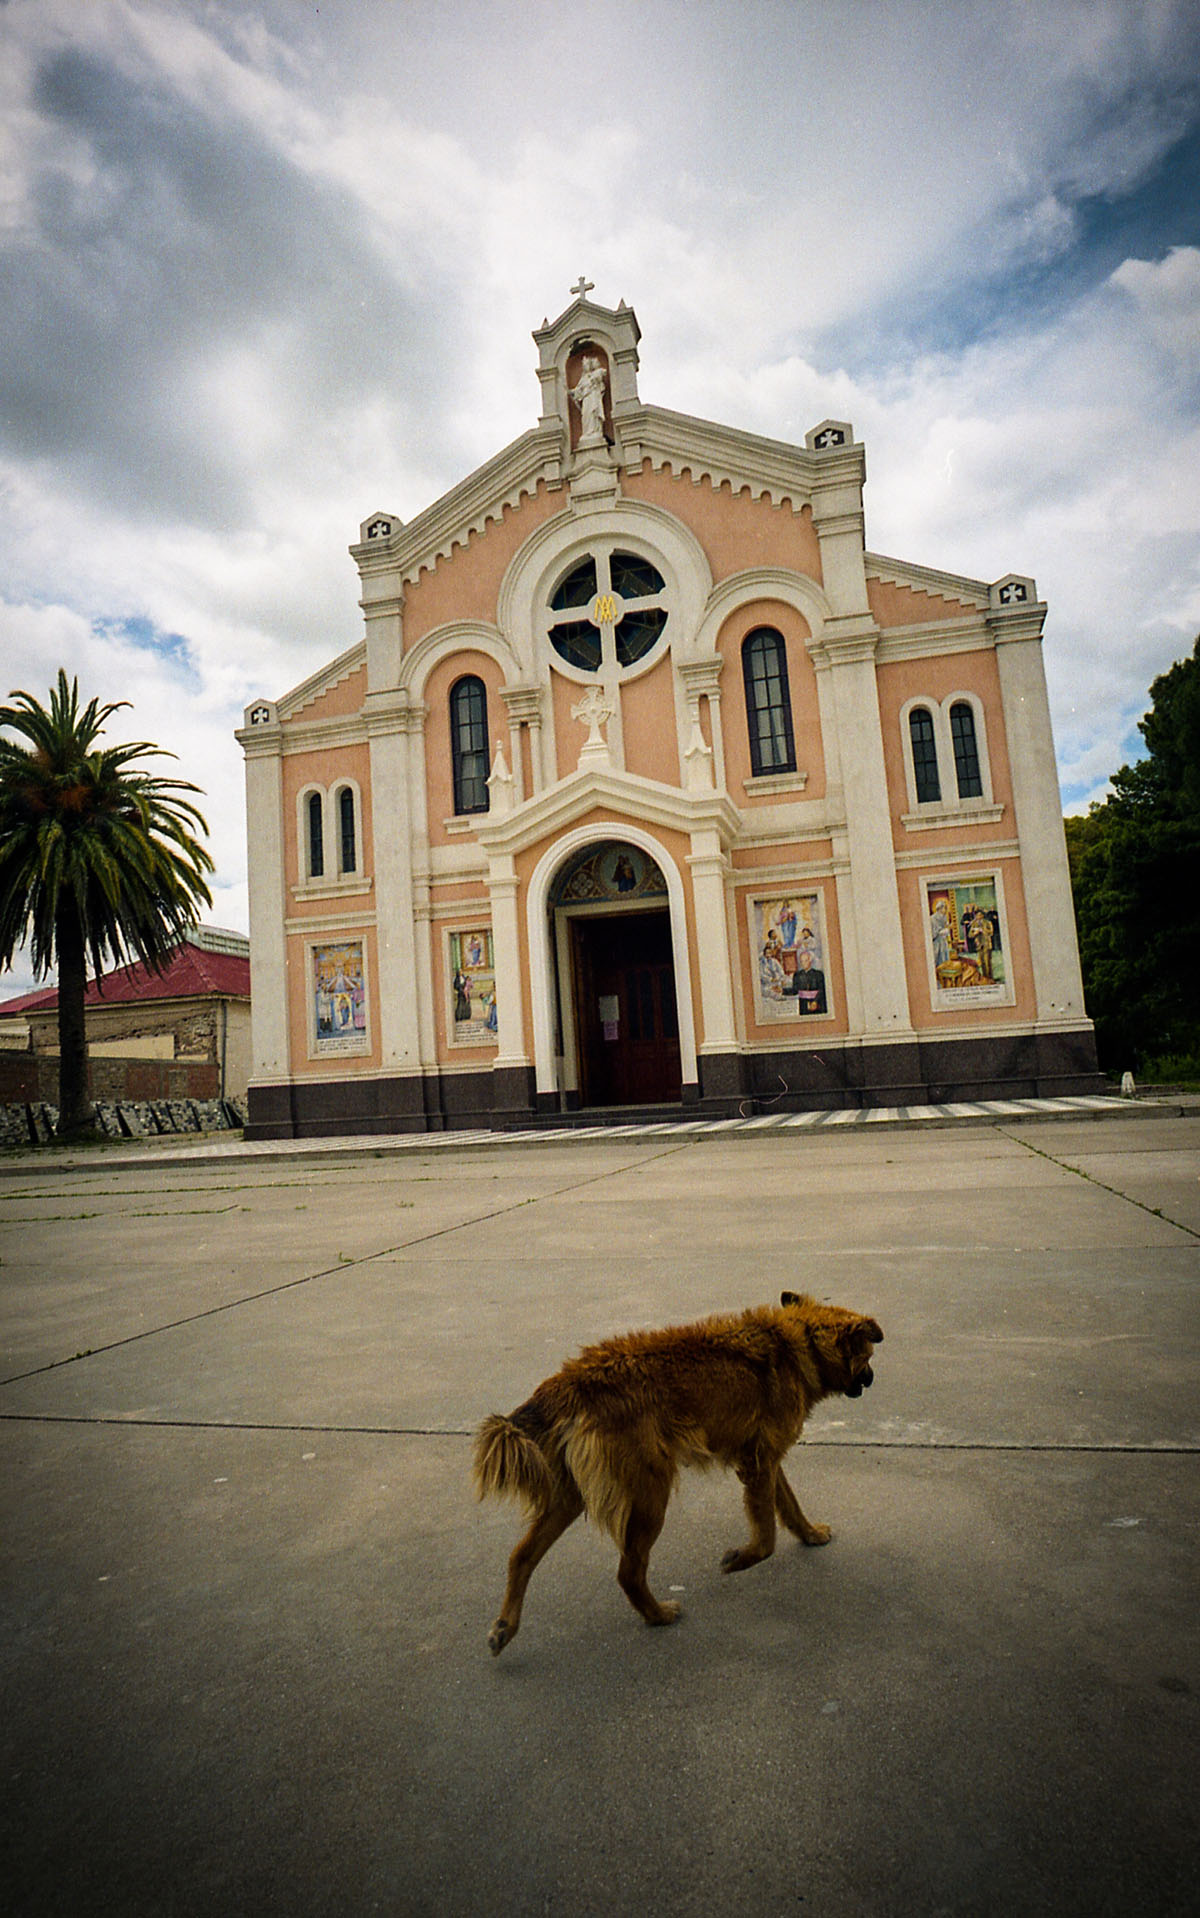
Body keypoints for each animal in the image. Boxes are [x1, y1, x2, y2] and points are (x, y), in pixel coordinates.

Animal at [469, 1296, 877, 1657]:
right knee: (629, 1571)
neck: (801, 1342)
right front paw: (738, 1559)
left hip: (571, 1494)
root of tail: (568, 1384)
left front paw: (810, 1535)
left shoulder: (766, 1459)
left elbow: (790, 1507)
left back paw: (504, 1627)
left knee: (522, 1556)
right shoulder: (759, 1462)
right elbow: (765, 1539)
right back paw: (658, 1615)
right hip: (650, 1493)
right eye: (869, 1355)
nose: (872, 1378)